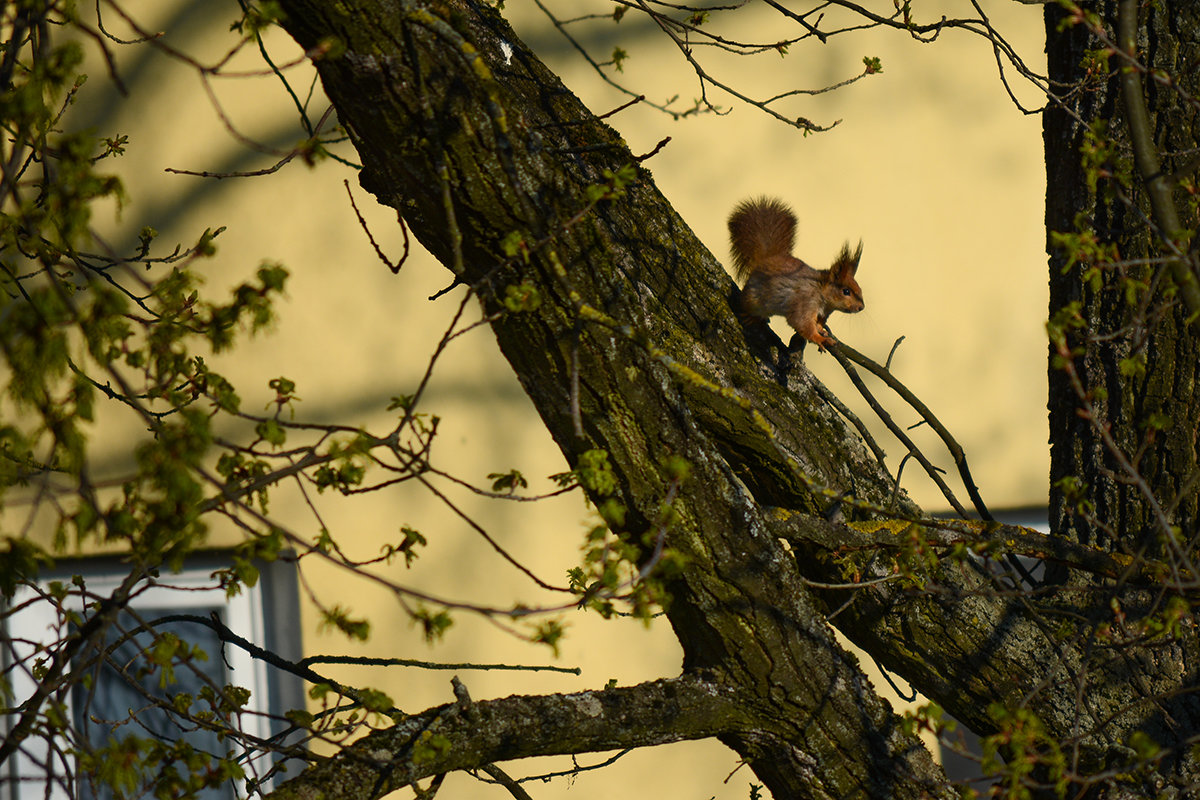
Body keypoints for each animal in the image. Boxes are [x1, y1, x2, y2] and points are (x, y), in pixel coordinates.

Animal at [720, 196, 864, 350]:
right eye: (846, 291)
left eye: (859, 288)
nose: (861, 307)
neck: (821, 293)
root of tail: (766, 260)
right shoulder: (805, 301)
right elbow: (801, 323)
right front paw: (820, 339)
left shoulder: (823, 312)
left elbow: (817, 322)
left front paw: (821, 329)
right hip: (753, 299)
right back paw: (751, 316)